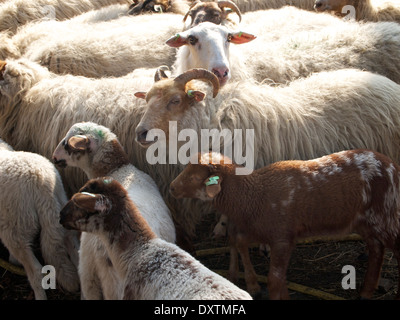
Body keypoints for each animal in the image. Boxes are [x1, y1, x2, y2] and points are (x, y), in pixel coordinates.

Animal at [170, 150, 400, 300]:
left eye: (194, 176)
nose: (171, 188)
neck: (252, 194)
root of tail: (391, 165)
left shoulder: (282, 238)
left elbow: (274, 281)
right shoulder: (272, 237)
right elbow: (279, 281)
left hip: (387, 215)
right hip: (366, 221)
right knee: (376, 250)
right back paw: (366, 292)